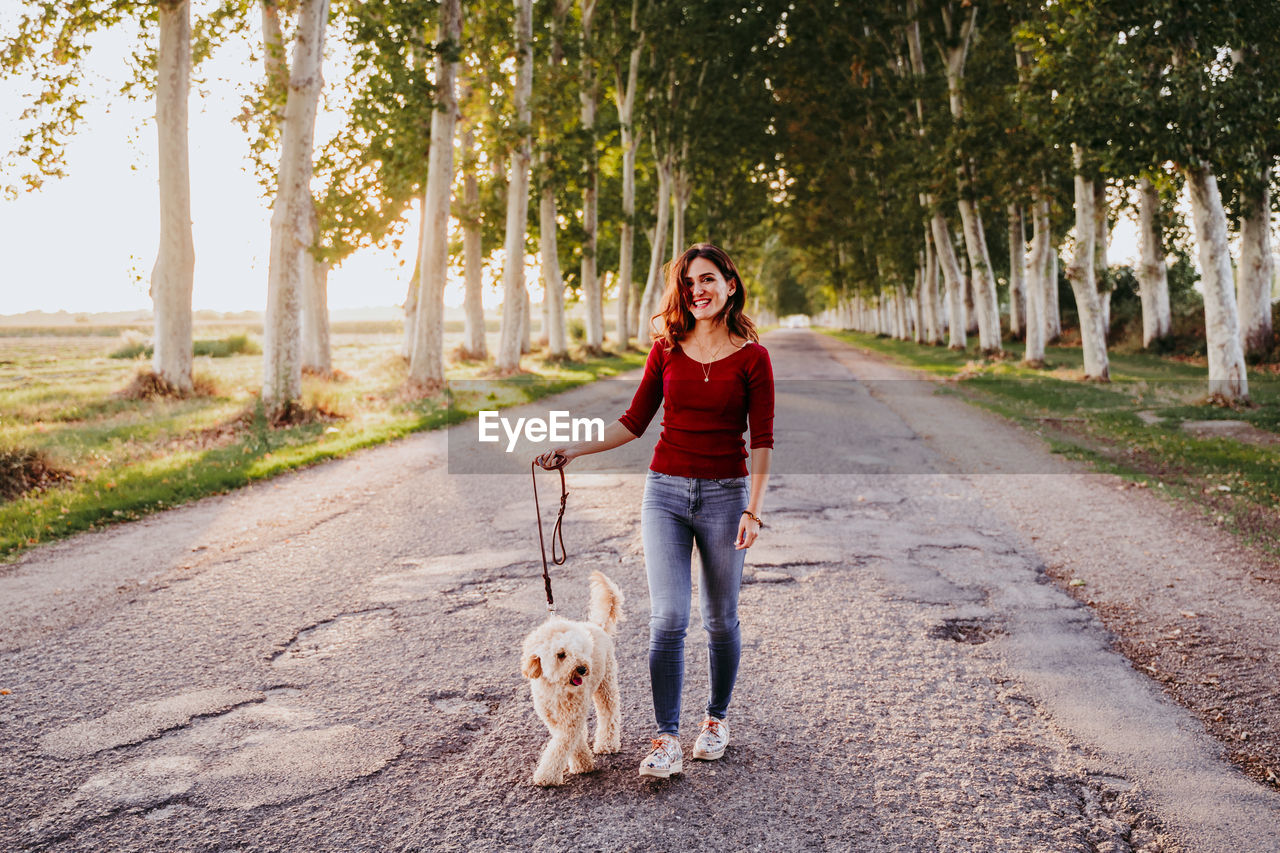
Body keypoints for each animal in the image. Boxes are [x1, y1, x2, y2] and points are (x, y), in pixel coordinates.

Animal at [517, 571, 622, 783]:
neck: (556, 687)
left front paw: (547, 776)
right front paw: (582, 763)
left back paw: (607, 744)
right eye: (561, 654)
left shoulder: (570, 720)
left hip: (606, 684)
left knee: (609, 713)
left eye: (581, 649)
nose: (582, 669)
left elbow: (560, 746)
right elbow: (574, 740)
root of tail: (597, 626)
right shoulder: (555, 718)